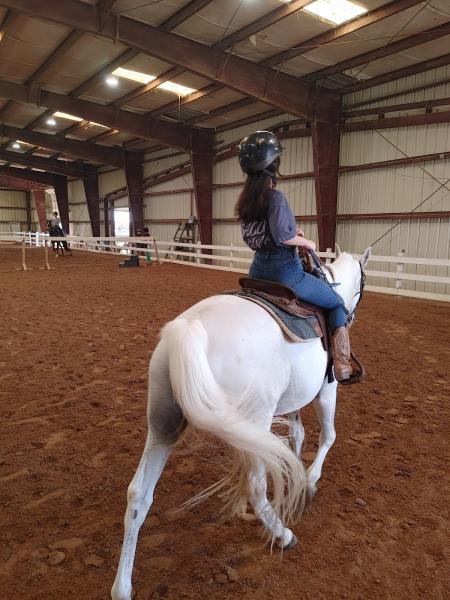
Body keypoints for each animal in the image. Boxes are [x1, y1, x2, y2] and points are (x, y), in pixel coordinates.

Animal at [111, 246, 370, 596]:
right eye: (364, 283)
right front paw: (309, 481)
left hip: (163, 425)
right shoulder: (327, 389)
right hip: (254, 420)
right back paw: (283, 535)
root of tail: (187, 329)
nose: (352, 315)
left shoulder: (292, 401)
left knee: (138, 495)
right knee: (258, 488)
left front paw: (295, 471)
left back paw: (122, 588)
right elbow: (328, 436)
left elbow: (297, 436)